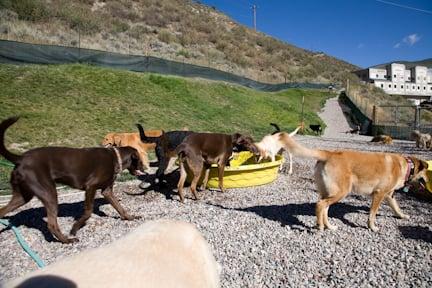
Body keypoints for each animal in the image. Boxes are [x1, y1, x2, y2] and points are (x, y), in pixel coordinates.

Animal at [0, 116, 144, 243]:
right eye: (139, 160)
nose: (144, 168)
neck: (115, 157)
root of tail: (21, 158)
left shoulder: (107, 191)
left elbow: (120, 208)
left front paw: (131, 217)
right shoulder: (90, 187)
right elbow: (88, 212)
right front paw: (74, 229)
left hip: (22, 196)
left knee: (2, 210)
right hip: (49, 193)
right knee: (51, 224)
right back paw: (67, 240)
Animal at [272, 130, 426, 232]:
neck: (406, 166)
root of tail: (328, 153)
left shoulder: (389, 195)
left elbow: (396, 207)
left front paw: (403, 215)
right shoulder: (379, 194)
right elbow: (372, 214)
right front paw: (372, 227)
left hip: (329, 192)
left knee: (325, 208)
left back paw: (329, 226)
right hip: (341, 191)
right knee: (320, 205)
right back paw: (320, 226)